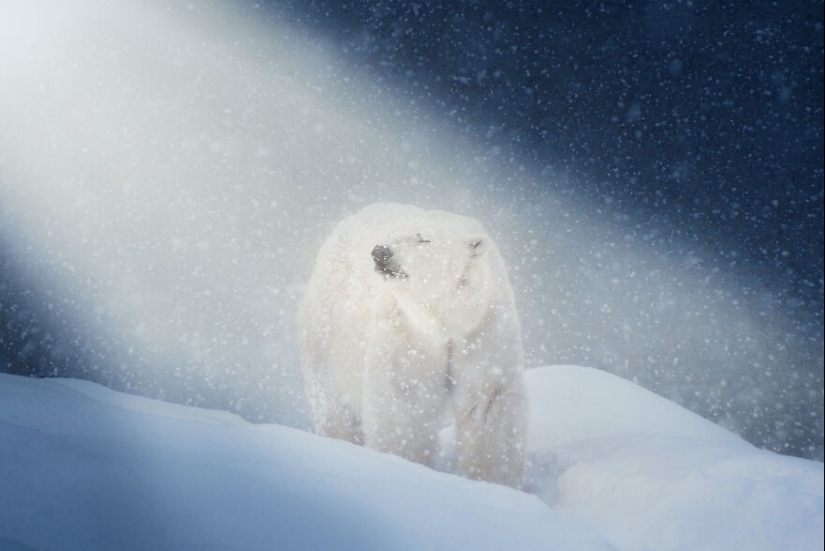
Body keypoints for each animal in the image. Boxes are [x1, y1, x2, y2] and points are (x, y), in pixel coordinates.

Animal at [298, 202, 527, 488]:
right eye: (391, 233)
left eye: (423, 238)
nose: (380, 251)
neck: (445, 320)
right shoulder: (406, 329)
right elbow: (406, 402)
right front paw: (407, 467)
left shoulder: (484, 326)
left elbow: (487, 401)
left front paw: (495, 483)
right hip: (326, 332)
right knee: (334, 407)